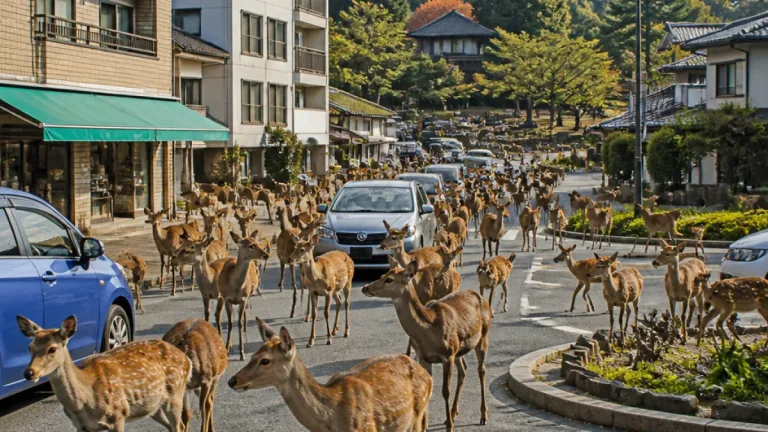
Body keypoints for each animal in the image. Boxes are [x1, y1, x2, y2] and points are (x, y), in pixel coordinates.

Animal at [16, 315, 192, 432]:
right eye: (29, 347)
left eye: (52, 349)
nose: (29, 373)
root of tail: (187, 360)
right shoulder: (81, 426)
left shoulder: (118, 414)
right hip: (153, 405)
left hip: (175, 393)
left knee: (179, 426)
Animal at [215, 231, 271, 360]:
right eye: (251, 245)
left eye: (258, 243)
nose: (266, 255)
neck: (235, 287)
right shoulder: (227, 299)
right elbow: (230, 323)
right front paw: (227, 349)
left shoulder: (243, 299)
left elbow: (239, 323)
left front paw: (242, 353)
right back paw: (229, 345)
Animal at [361, 260, 492, 432]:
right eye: (382, 275)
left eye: (389, 279)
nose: (365, 287)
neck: (429, 330)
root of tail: (482, 298)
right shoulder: (425, 357)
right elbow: (427, 388)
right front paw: (425, 426)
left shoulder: (447, 356)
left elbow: (445, 391)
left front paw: (450, 427)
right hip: (458, 348)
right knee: (463, 369)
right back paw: (453, 413)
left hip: (482, 337)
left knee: (481, 370)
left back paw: (483, 416)